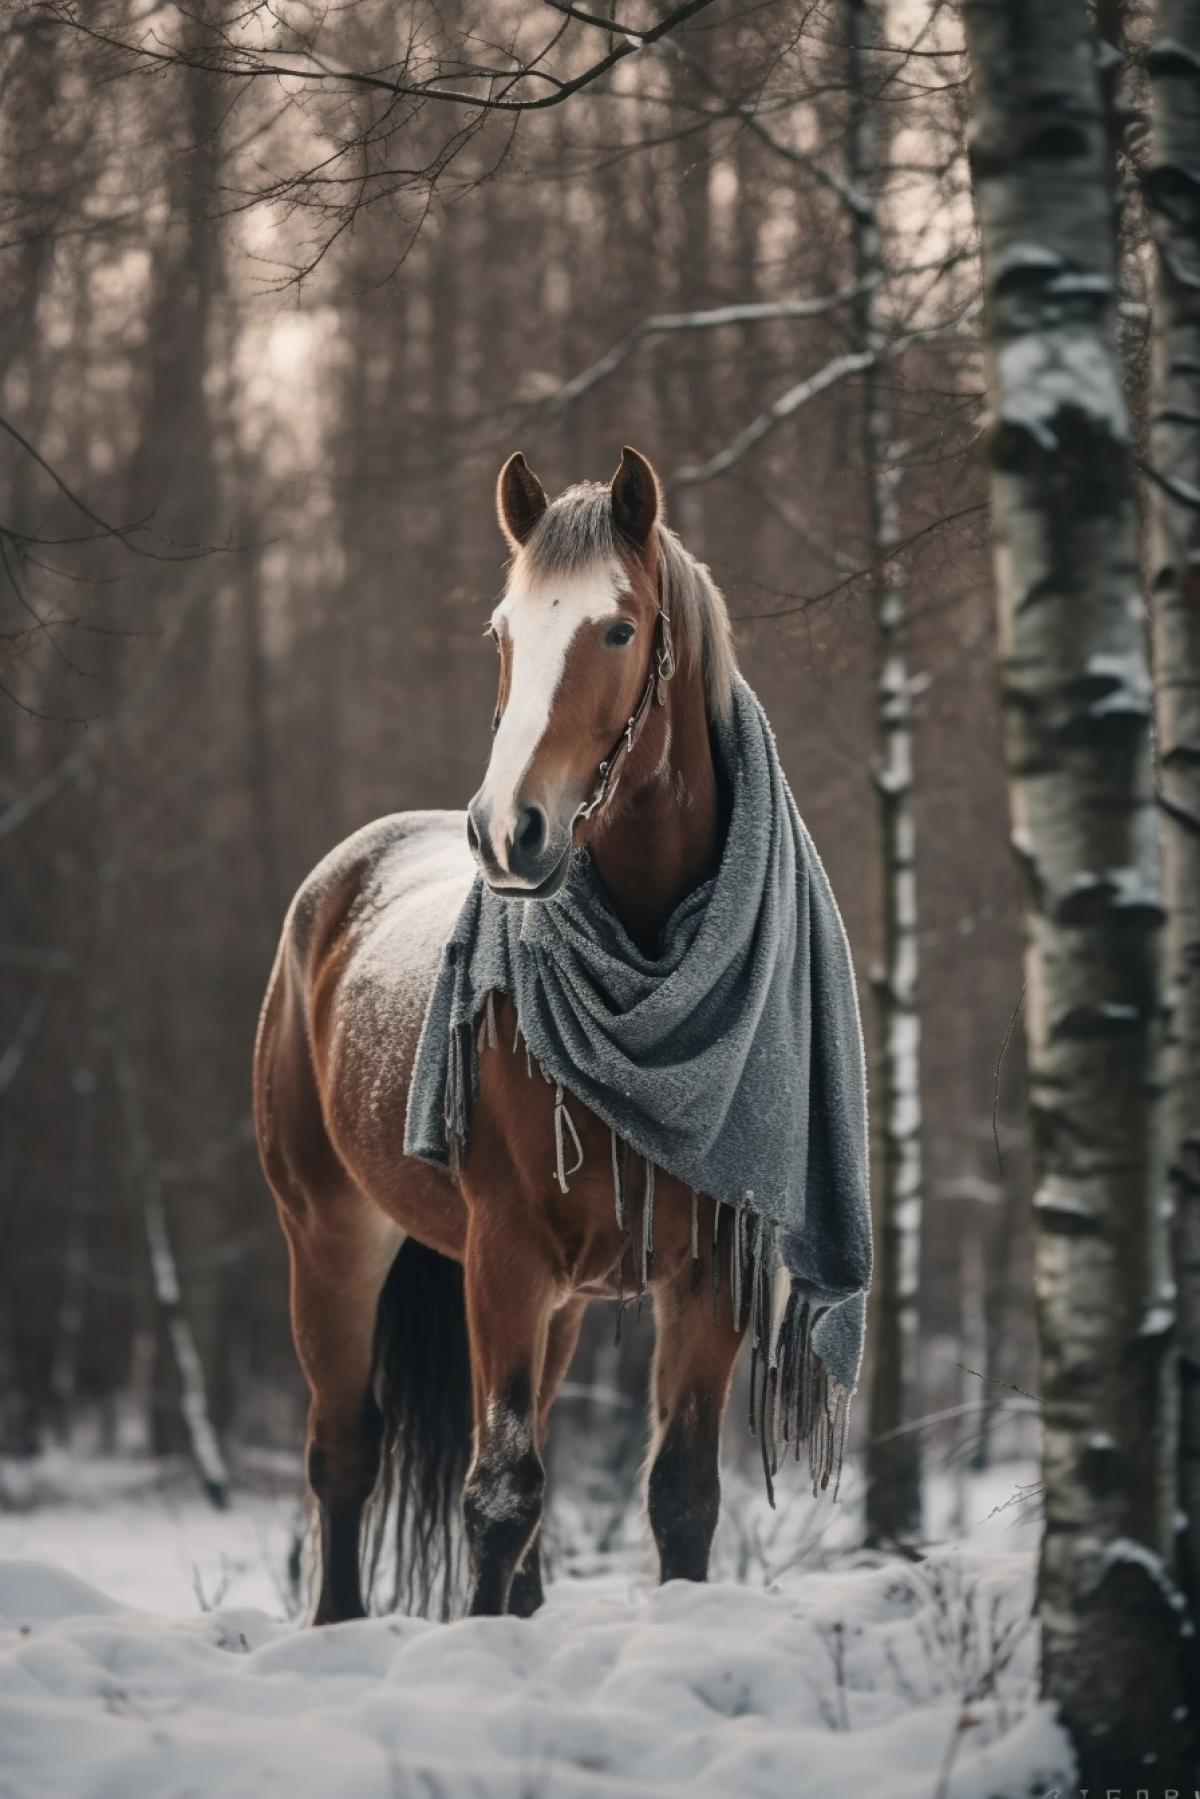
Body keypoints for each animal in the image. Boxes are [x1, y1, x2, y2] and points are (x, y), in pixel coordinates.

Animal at [254, 446, 757, 1623]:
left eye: (618, 627)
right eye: (501, 632)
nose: (507, 831)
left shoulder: (703, 1276)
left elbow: (681, 1494)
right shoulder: (505, 1257)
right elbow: (497, 1493)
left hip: (560, 1302)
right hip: (331, 1239)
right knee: (343, 1454)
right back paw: (337, 1625)